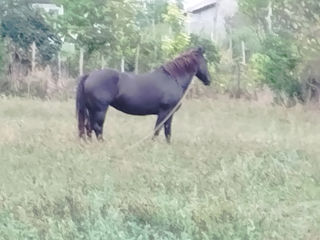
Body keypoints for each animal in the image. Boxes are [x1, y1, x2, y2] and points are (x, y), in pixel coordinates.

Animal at [76, 47, 211, 142]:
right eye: (205, 61)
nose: (209, 80)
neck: (173, 79)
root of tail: (90, 75)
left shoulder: (169, 114)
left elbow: (168, 131)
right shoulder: (164, 112)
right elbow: (158, 129)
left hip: (91, 110)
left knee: (88, 127)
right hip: (100, 110)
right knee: (97, 127)